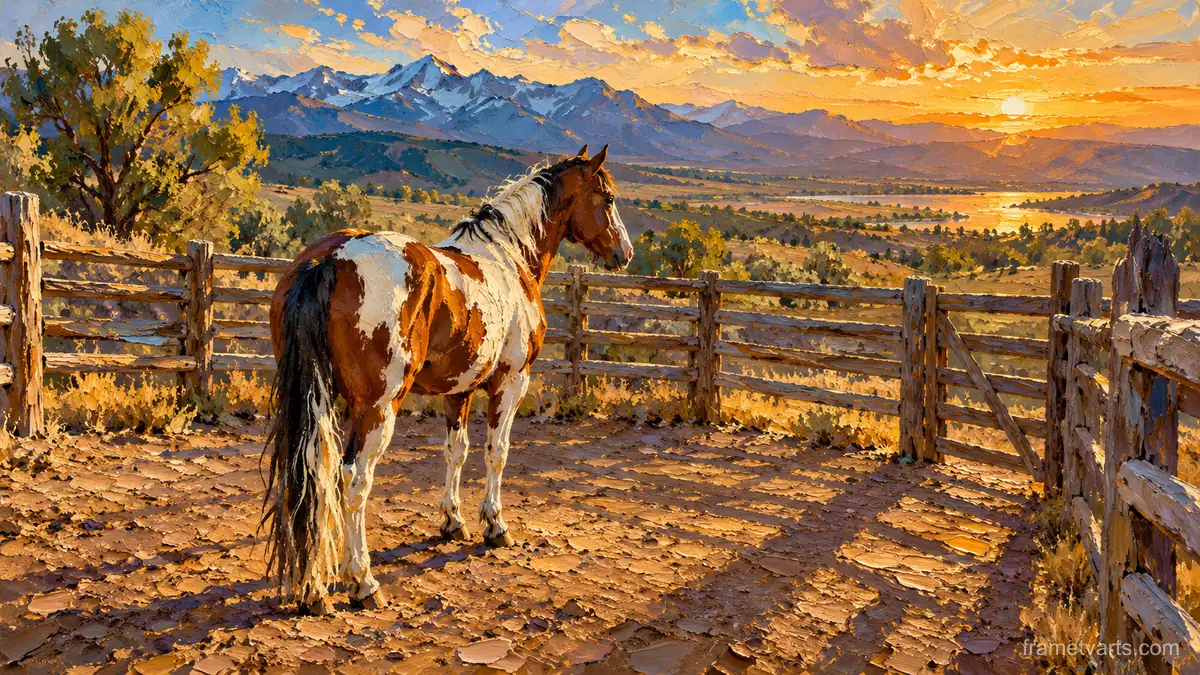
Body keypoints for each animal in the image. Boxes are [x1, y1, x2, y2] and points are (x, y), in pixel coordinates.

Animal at [263, 145, 632, 615]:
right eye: (608, 197)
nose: (625, 252)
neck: (509, 258)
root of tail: (329, 258)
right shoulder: (511, 383)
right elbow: (496, 453)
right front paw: (495, 525)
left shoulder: (459, 391)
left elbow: (456, 451)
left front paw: (453, 521)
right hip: (378, 408)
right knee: (353, 479)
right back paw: (363, 581)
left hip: (316, 401)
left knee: (311, 471)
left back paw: (311, 590)